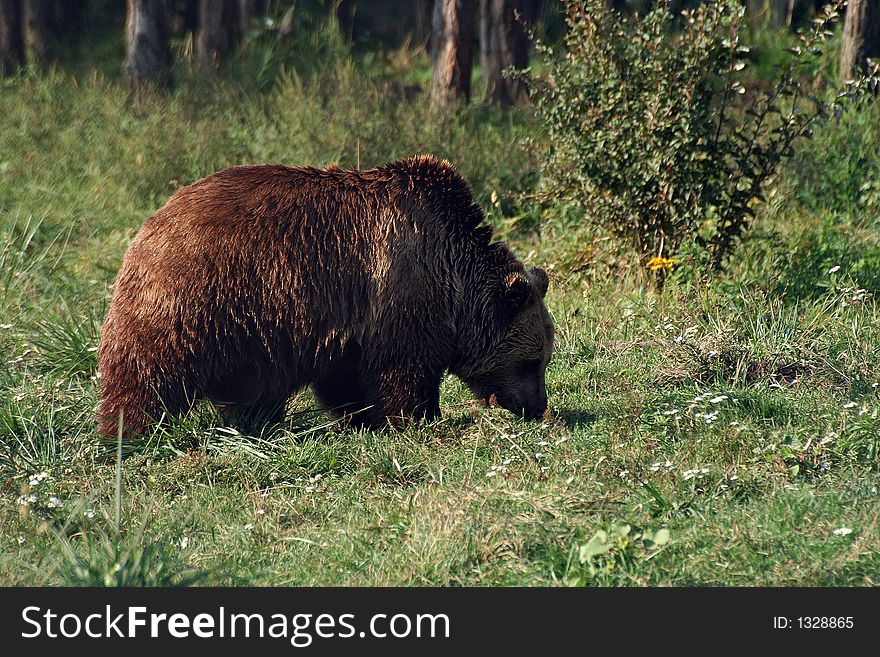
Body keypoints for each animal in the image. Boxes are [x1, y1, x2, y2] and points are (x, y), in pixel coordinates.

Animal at [94, 156, 552, 438]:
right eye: (532, 361)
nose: (537, 406)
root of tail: (151, 223)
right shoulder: (402, 290)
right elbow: (404, 371)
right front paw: (419, 418)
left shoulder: (350, 324)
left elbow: (347, 378)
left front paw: (364, 418)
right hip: (195, 297)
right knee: (147, 371)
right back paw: (130, 431)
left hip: (248, 331)